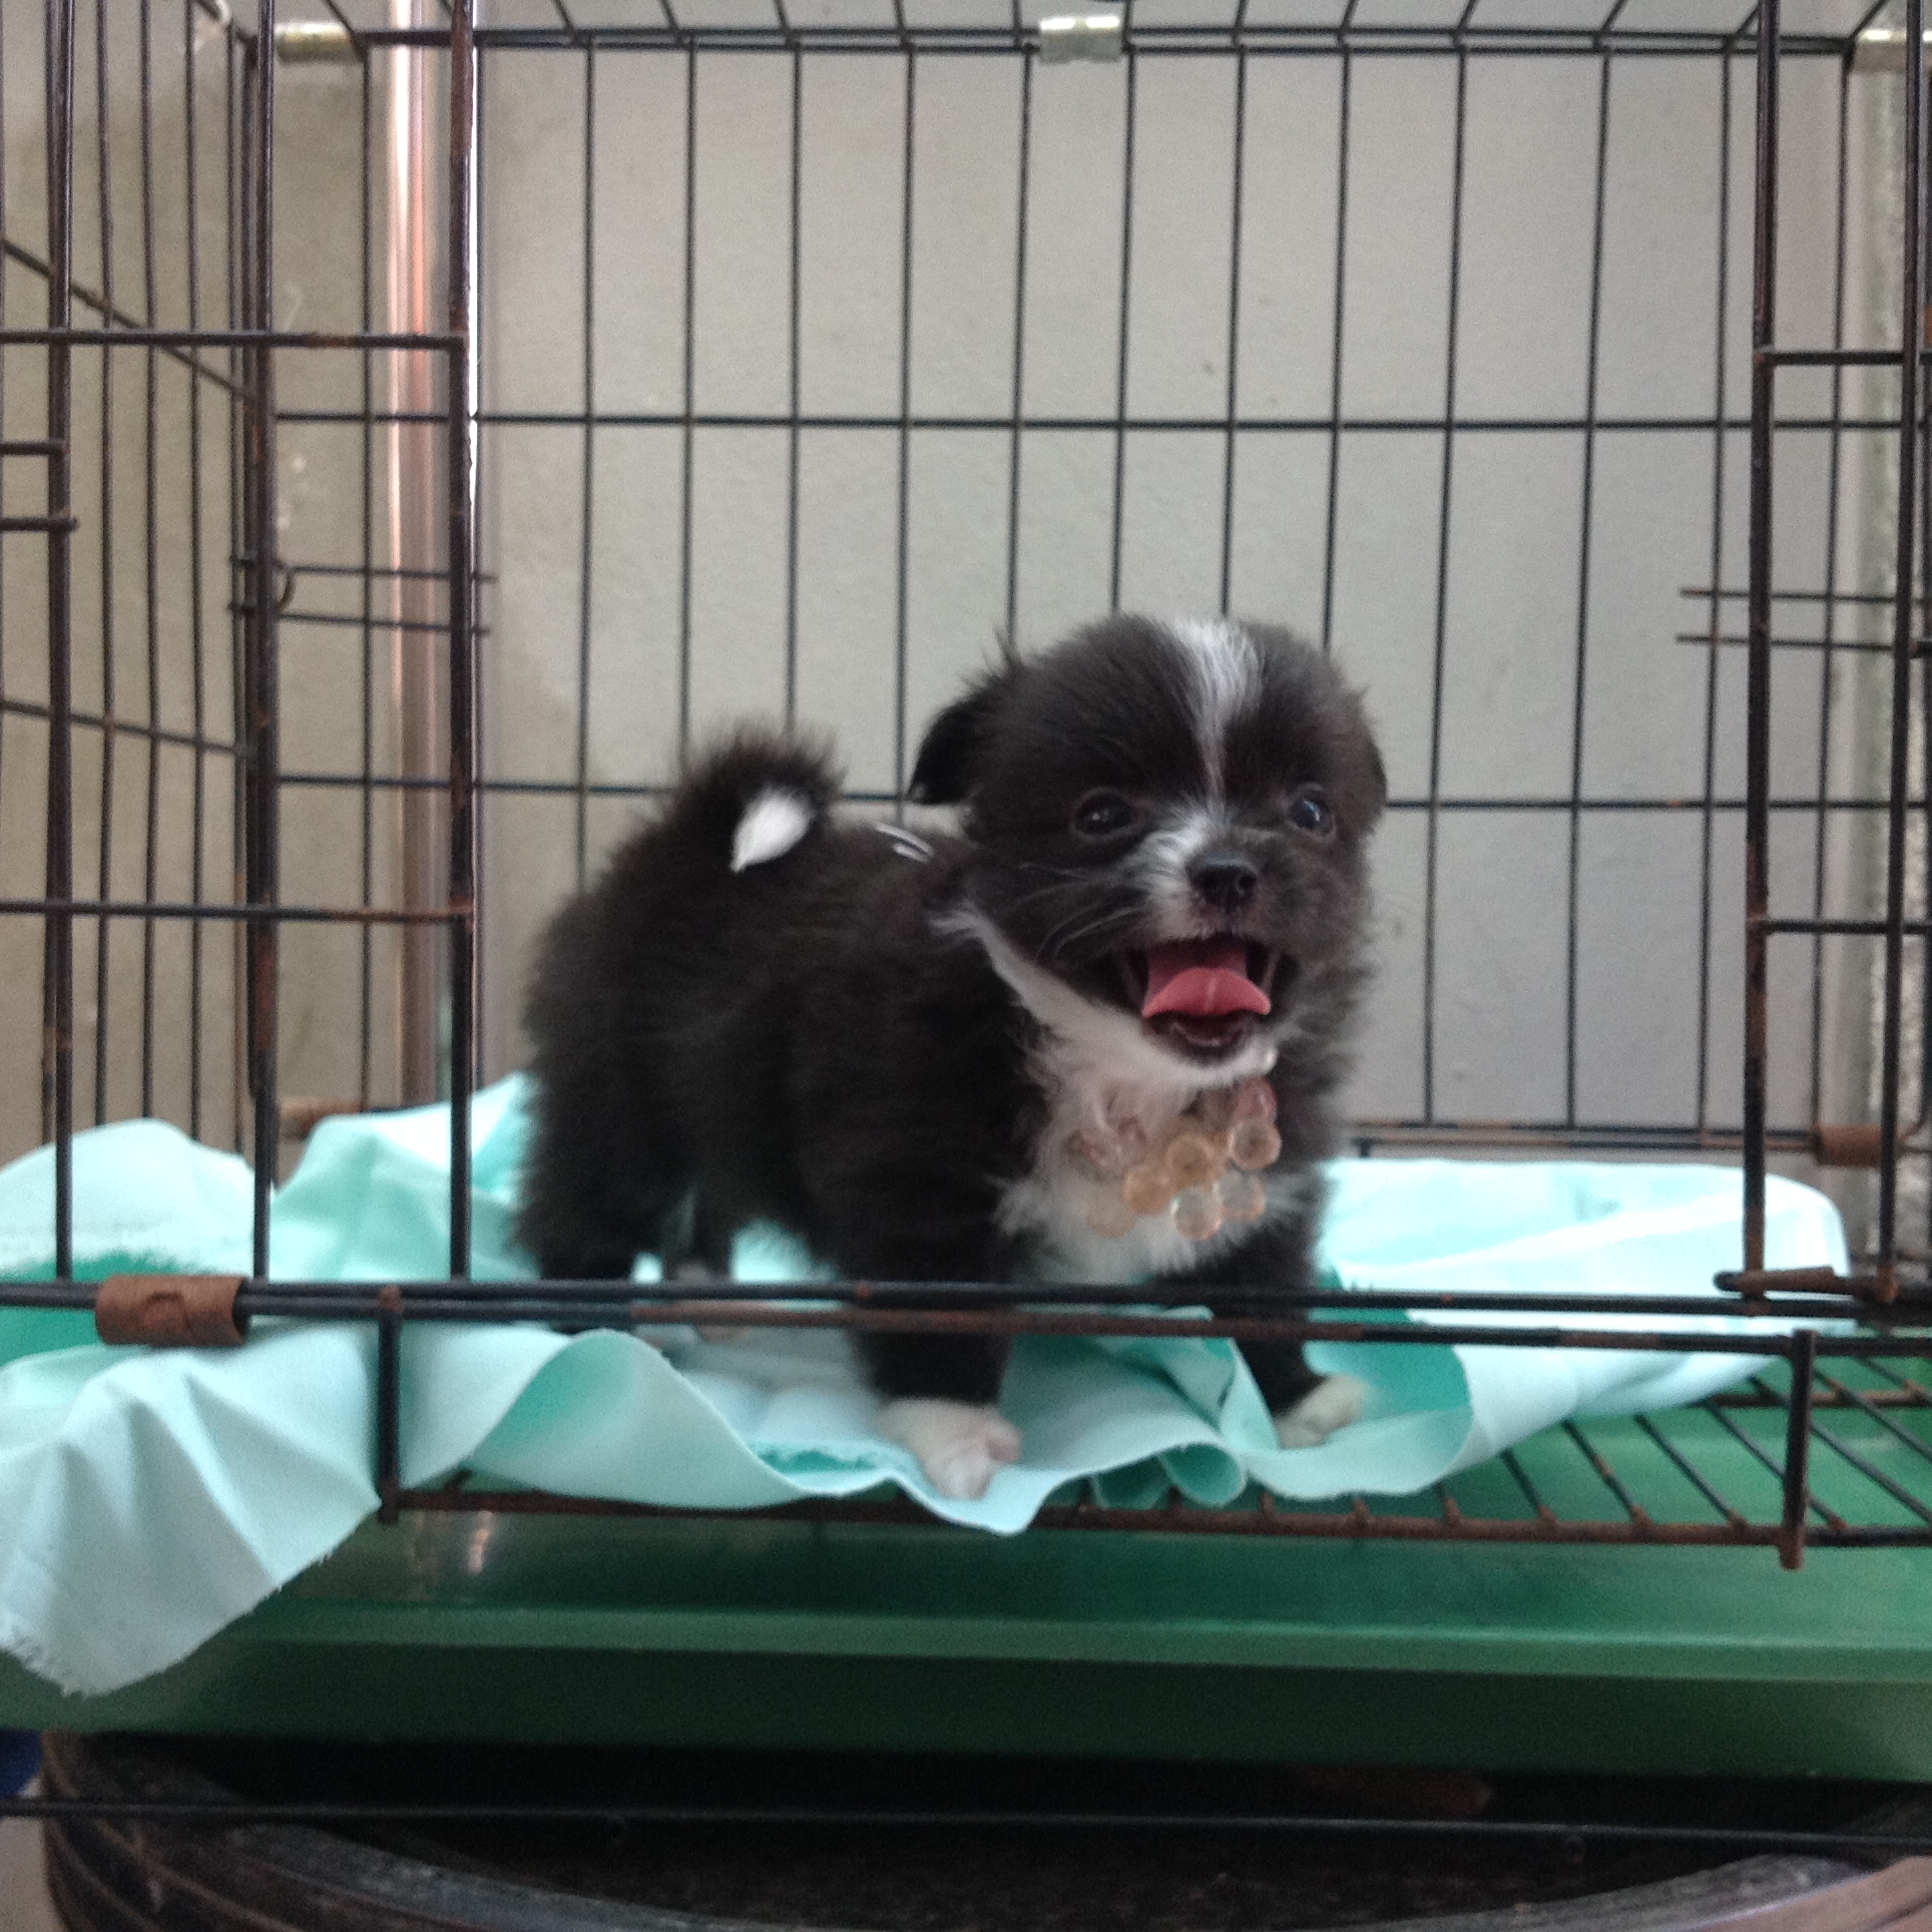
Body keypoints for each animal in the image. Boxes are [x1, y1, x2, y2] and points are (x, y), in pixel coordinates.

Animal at [517, 614, 1386, 1499]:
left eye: (1309, 812)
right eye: (1103, 814)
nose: (1228, 869)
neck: (1117, 1070)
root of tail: (684, 841)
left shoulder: (1261, 1173)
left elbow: (1259, 1284)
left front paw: (1295, 1399)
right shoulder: (917, 1177)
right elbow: (938, 1306)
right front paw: (954, 1433)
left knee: (714, 1188)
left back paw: (714, 1302)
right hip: (618, 1090)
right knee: (587, 1198)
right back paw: (587, 1330)